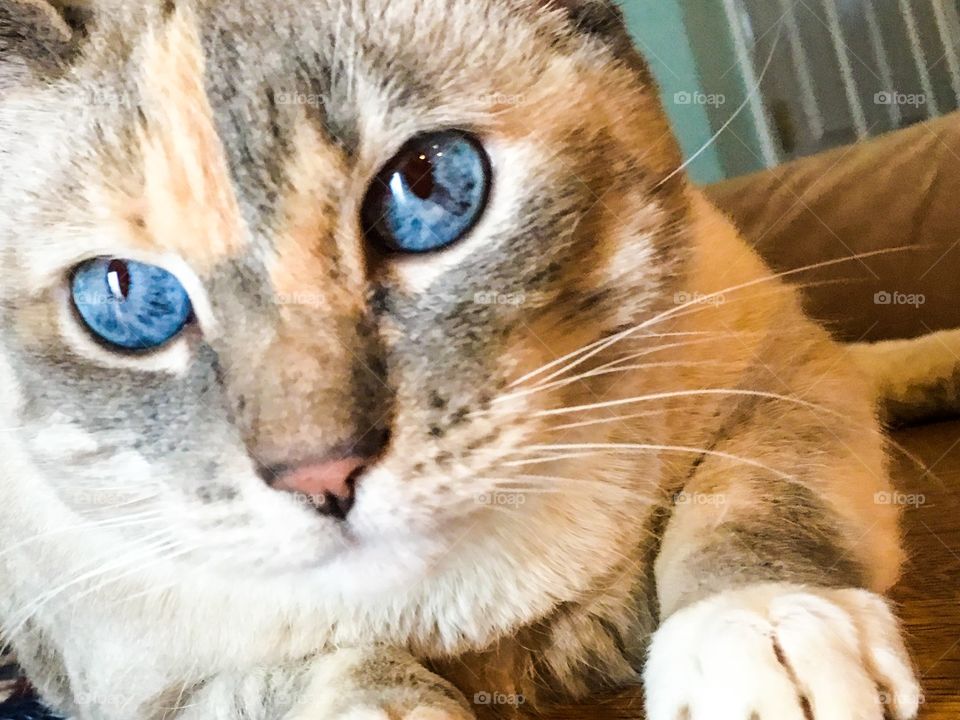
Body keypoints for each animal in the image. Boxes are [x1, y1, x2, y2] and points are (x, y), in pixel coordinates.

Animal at [0, 0, 952, 716]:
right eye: (126, 298)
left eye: (428, 188)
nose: (322, 475)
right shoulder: (133, 689)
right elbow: (311, 674)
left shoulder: (777, 372)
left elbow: (749, 503)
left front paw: (757, 641)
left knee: (868, 367)